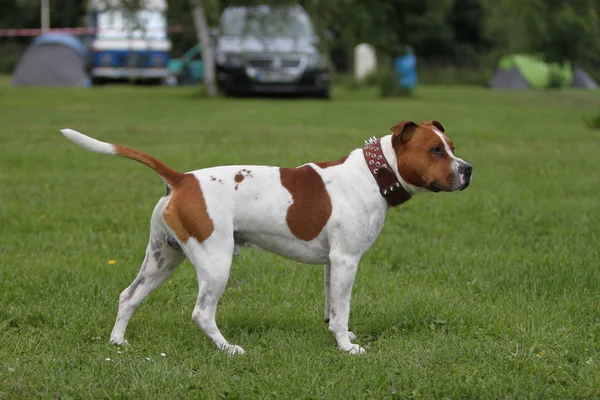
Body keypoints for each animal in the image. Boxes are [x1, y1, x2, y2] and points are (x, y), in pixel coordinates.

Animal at [61, 120, 474, 354]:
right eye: (435, 150)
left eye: (453, 146)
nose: (468, 169)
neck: (375, 173)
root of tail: (181, 179)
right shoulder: (346, 261)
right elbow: (342, 312)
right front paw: (346, 347)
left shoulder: (333, 263)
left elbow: (332, 307)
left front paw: (339, 336)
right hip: (215, 262)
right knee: (202, 312)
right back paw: (228, 349)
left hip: (162, 260)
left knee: (128, 296)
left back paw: (118, 342)